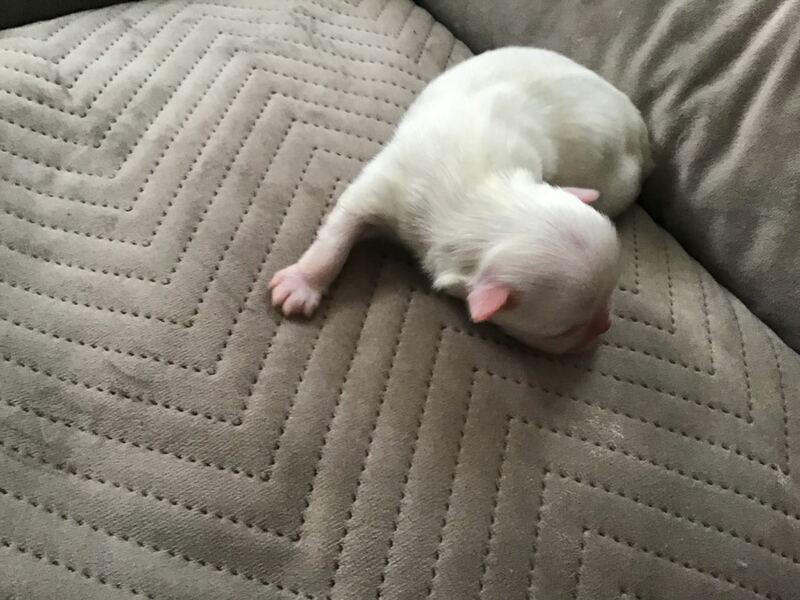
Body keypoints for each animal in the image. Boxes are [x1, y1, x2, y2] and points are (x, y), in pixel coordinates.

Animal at [270, 47, 652, 354]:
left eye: (609, 298)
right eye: (565, 329)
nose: (605, 325)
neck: (485, 200)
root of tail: (641, 129)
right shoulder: (385, 184)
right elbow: (340, 230)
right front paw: (301, 283)